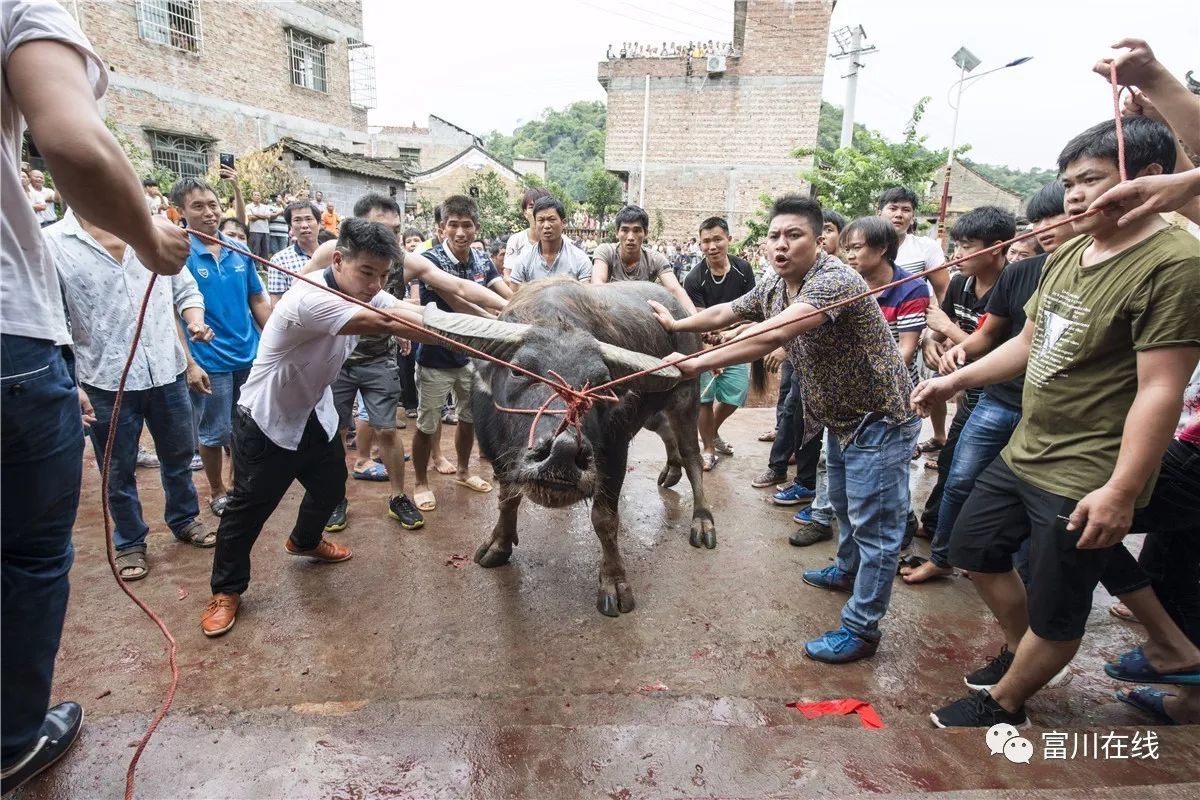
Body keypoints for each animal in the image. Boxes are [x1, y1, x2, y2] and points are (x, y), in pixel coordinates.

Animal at [424, 278, 710, 618]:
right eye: (517, 370)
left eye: (601, 383)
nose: (561, 453)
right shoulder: (498, 455)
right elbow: (507, 500)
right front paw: (499, 545)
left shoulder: (613, 456)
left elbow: (605, 520)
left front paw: (614, 581)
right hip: (654, 412)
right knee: (665, 430)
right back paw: (671, 471)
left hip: (687, 395)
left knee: (693, 455)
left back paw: (702, 520)